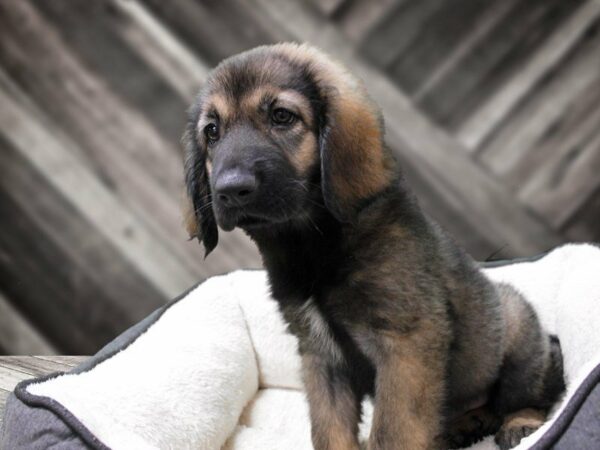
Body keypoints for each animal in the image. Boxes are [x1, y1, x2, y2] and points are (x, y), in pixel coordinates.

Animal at [182, 43, 564, 450]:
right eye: (212, 131)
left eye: (282, 116)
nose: (230, 190)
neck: (313, 247)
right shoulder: (320, 357)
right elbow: (330, 431)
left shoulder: (405, 343)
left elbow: (393, 430)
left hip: (517, 328)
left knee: (530, 397)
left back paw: (519, 422)